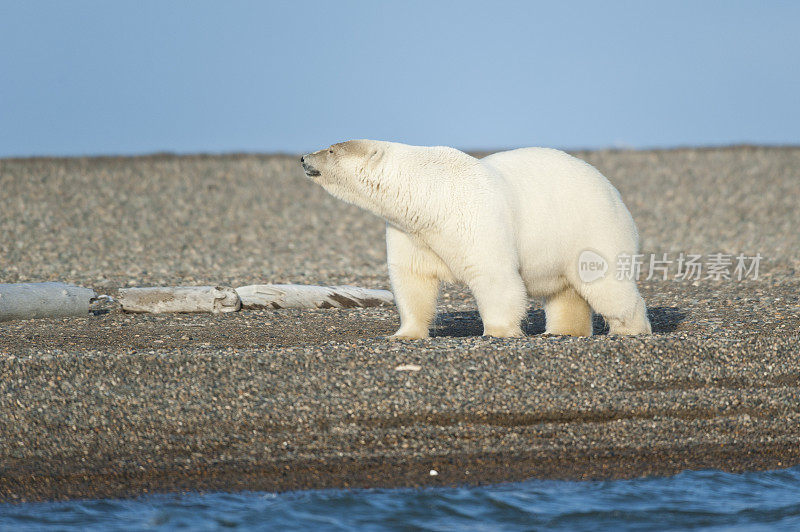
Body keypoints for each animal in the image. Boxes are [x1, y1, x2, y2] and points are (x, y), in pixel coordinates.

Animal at [300, 140, 648, 336]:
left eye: (331, 149)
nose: (304, 158)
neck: (430, 194)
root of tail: (613, 191)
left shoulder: (475, 217)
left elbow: (493, 274)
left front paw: (498, 331)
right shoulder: (411, 231)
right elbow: (412, 278)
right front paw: (404, 334)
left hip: (592, 227)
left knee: (605, 284)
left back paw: (628, 329)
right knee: (564, 292)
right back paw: (562, 332)